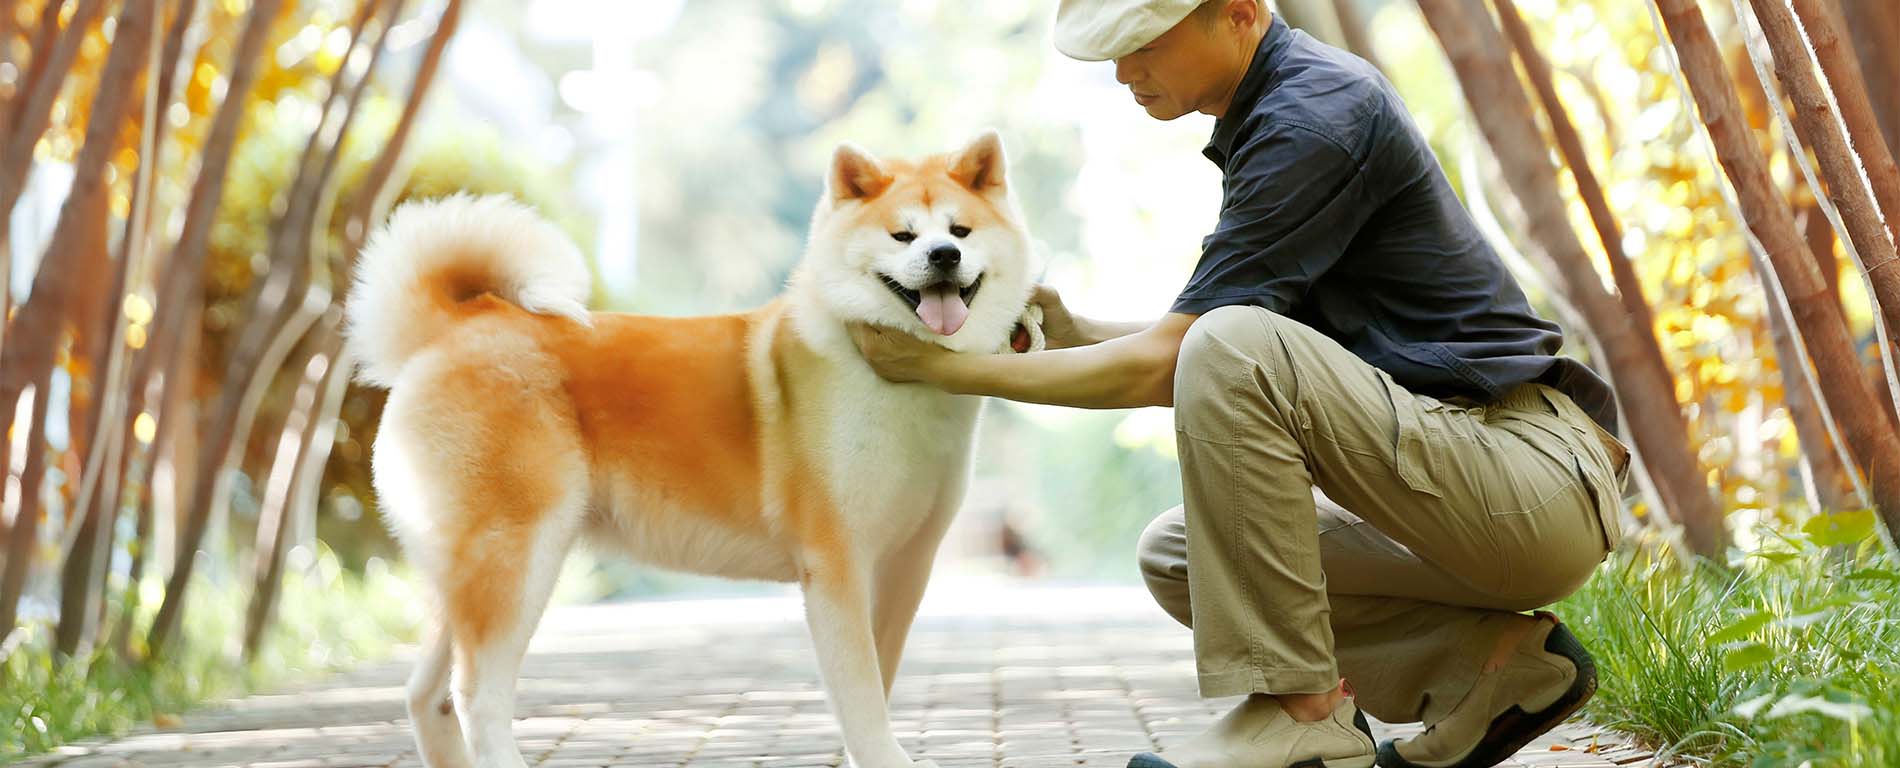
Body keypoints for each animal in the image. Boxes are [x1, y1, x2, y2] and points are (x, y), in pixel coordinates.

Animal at [349, 133, 1048, 768]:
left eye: (959, 230)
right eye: (903, 236)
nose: (943, 254)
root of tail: (460, 325)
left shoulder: (907, 565)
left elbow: (883, 677)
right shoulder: (836, 568)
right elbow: (864, 700)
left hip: (466, 573)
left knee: (427, 697)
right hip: (517, 562)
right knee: (476, 696)